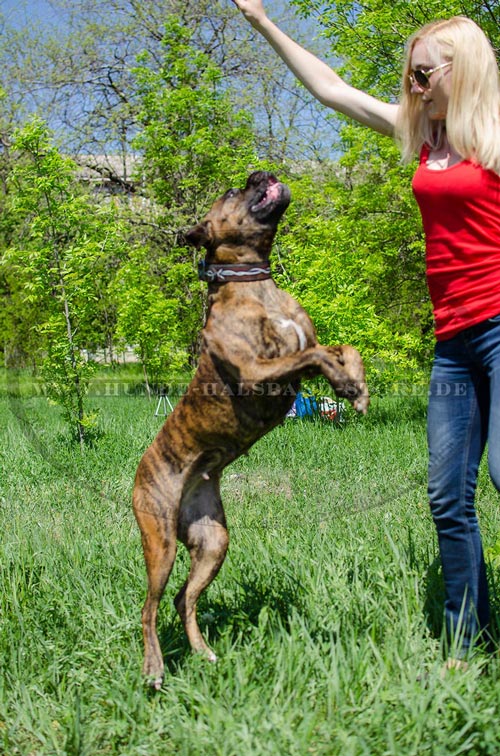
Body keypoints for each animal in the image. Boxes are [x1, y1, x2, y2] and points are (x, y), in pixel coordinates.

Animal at [133, 170, 368, 684]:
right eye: (230, 193)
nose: (257, 173)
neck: (254, 282)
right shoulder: (258, 371)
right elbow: (315, 355)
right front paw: (345, 383)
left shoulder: (301, 351)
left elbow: (342, 347)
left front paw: (356, 386)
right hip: (160, 543)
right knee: (150, 607)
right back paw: (155, 668)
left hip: (212, 541)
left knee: (183, 599)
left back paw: (203, 654)